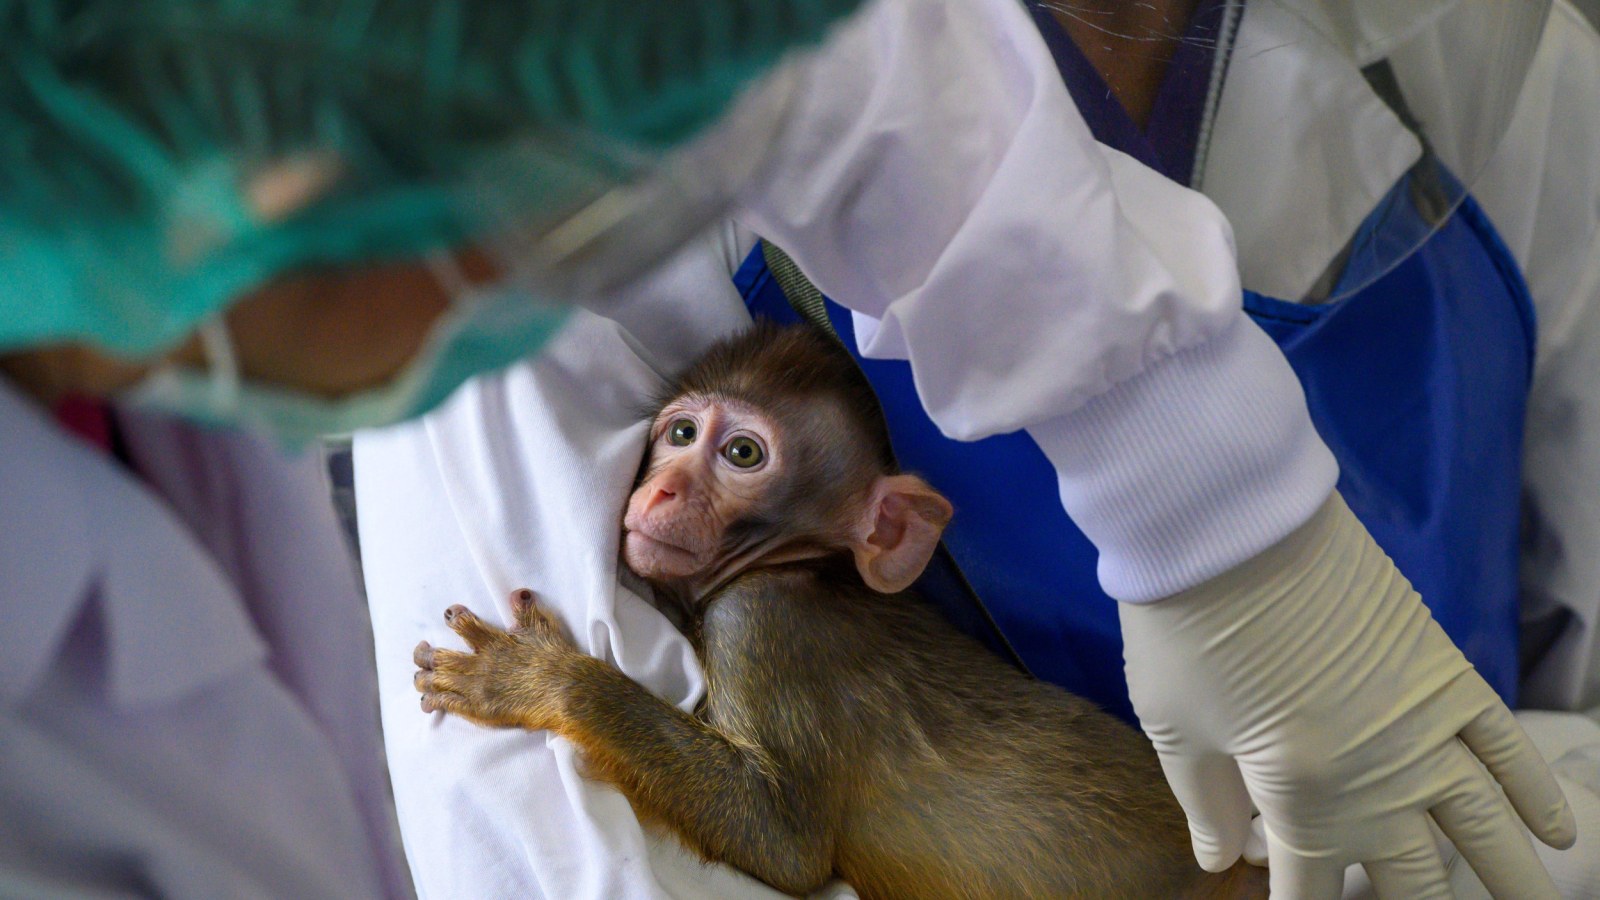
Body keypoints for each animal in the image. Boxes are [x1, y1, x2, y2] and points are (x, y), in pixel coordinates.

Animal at [412, 322, 1267, 899]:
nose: (660, 490)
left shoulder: (760, 624)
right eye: (681, 432)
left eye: (742, 454)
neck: (805, 568)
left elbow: (783, 841)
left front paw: (537, 678)